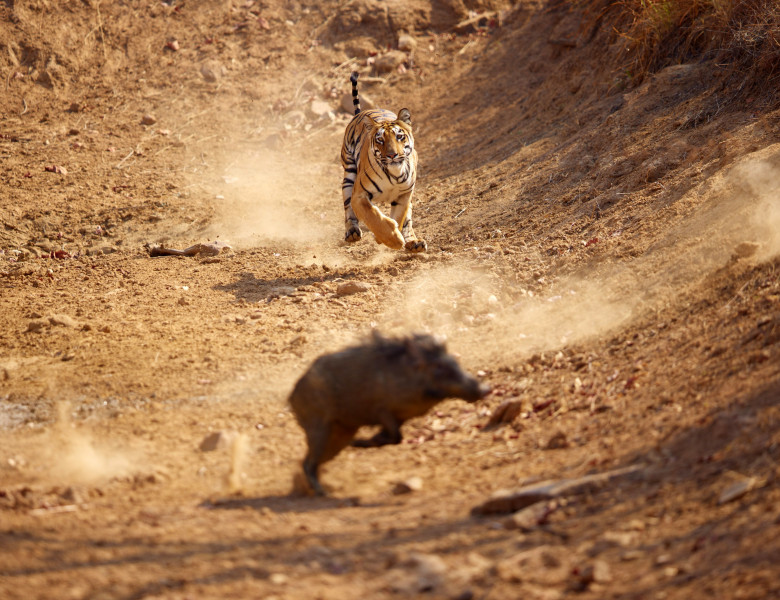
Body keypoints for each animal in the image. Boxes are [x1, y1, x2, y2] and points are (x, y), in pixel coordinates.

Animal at [340, 71, 426, 252]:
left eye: (399, 136)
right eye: (380, 139)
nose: (393, 155)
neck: (395, 174)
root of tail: (360, 113)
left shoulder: (404, 195)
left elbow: (400, 218)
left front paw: (392, 237)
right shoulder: (359, 195)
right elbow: (372, 217)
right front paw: (392, 240)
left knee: (408, 220)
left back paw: (414, 243)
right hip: (348, 173)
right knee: (348, 207)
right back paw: (352, 233)